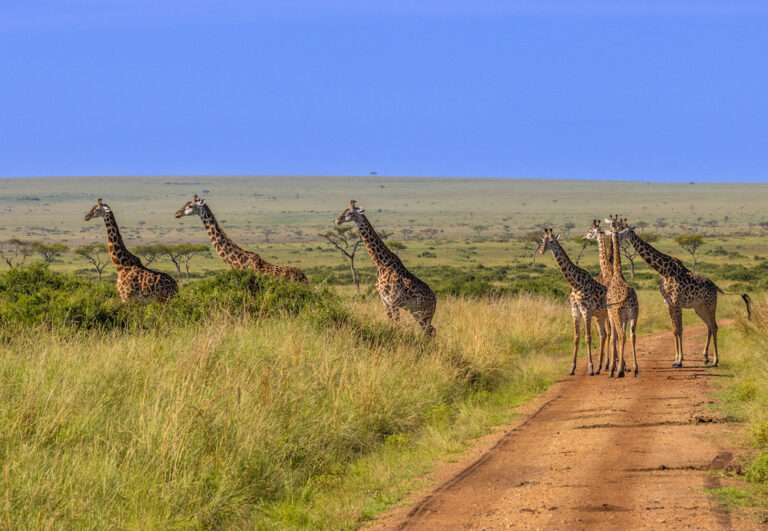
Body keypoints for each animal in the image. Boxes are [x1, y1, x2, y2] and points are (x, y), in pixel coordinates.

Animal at [335, 201, 436, 335]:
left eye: (350, 212)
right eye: (345, 210)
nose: (337, 220)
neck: (382, 265)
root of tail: (435, 301)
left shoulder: (394, 301)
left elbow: (397, 325)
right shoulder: (384, 301)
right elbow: (391, 323)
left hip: (425, 313)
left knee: (431, 331)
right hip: (416, 313)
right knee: (430, 331)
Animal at [540, 228, 609, 376]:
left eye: (552, 241)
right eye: (543, 240)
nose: (542, 250)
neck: (575, 284)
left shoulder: (585, 309)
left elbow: (588, 337)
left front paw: (590, 368)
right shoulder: (575, 309)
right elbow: (576, 337)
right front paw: (572, 368)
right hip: (601, 315)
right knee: (606, 334)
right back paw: (603, 366)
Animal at [618, 219, 750, 367]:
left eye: (625, 230)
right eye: (618, 228)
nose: (616, 236)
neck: (663, 270)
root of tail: (716, 286)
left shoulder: (677, 303)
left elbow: (680, 329)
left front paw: (680, 360)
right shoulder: (668, 304)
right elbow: (674, 330)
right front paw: (676, 359)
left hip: (711, 304)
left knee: (714, 327)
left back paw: (715, 361)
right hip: (699, 308)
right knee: (709, 326)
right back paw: (706, 357)